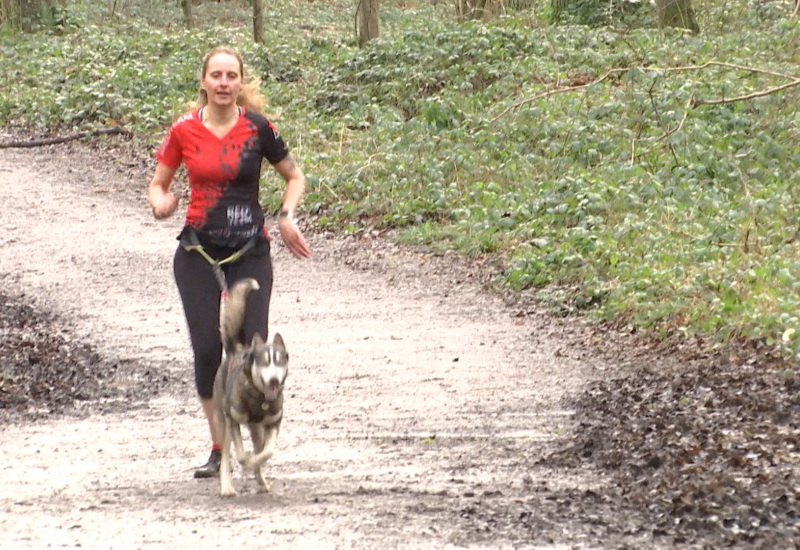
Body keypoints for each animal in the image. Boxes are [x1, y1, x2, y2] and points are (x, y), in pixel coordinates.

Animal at [212, 280, 288, 500]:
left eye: (279, 362)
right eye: (264, 362)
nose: (273, 379)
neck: (260, 399)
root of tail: (238, 350)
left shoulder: (273, 424)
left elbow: (265, 452)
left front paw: (257, 465)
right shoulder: (233, 421)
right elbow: (241, 455)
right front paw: (247, 463)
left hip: (256, 429)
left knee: (257, 447)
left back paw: (261, 482)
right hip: (223, 422)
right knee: (226, 455)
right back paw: (227, 487)